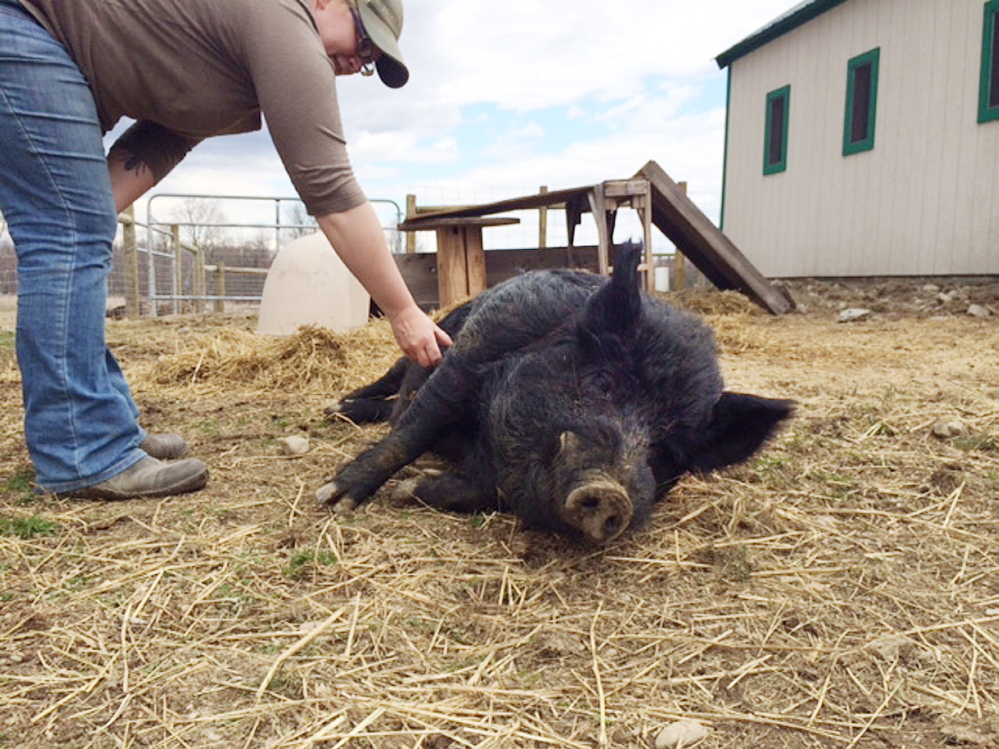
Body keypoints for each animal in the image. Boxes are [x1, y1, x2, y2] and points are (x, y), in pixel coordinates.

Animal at [316, 248, 792, 548]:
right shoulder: (469, 355)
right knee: (391, 388)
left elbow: (488, 489)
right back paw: (336, 408)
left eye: (669, 451)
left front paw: (408, 490)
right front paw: (334, 500)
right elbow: (414, 429)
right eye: (602, 382)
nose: (613, 493)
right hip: (426, 342)